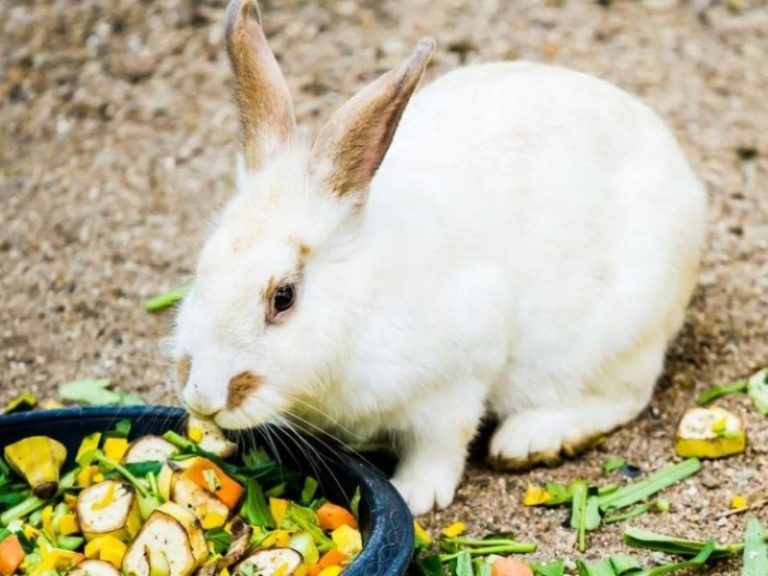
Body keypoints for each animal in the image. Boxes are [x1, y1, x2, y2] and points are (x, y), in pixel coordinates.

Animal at [172, 0, 707, 515]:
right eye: (201, 269)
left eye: (283, 297)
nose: (204, 397)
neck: (363, 296)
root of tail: (686, 182)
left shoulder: (456, 380)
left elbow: (442, 444)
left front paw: (414, 495)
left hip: (615, 338)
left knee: (624, 397)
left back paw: (530, 439)